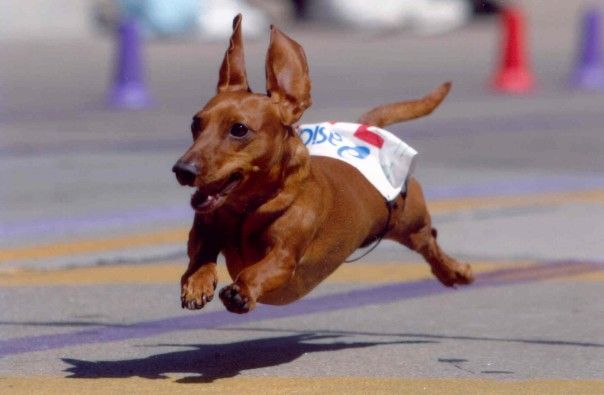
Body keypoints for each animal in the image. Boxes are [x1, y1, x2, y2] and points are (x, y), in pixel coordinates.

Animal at [172, 13, 474, 314]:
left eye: (239, 129)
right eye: (195, 123)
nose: (182, 171)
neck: (247, 211)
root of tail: (367, 128)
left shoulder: (284, 257)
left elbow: (260, 270)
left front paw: (241, 291)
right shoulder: (203, 229)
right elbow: (201, 252)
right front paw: (197, 283)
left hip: (411, 223)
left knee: (430, 242)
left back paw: (455, 270)